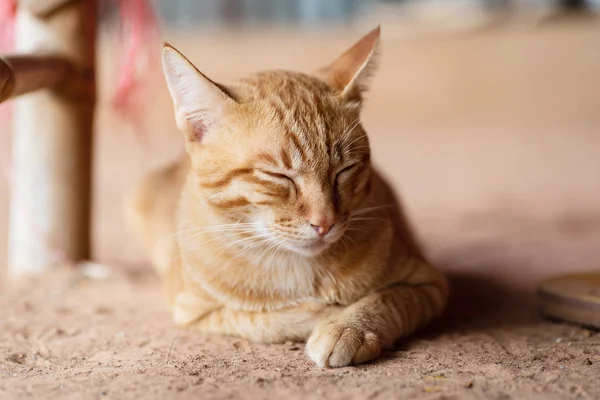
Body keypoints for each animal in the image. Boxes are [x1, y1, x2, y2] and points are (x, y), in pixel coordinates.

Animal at [125, 26, 446, 368]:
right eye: (279, 176)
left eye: (344, 170)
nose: (325, 223)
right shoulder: (194, 312)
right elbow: (266, 320)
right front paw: (325, 313)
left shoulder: (429, 283)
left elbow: (385, 298)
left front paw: (349, 327)